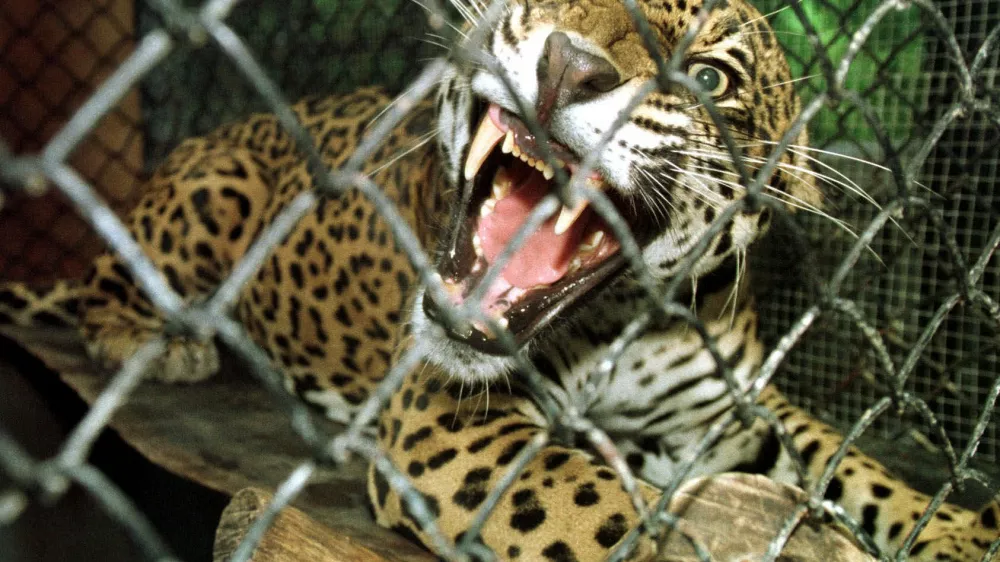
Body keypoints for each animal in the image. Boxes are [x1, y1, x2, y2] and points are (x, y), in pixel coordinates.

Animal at [1, 0, 997, 560]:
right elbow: (610, 516)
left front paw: (959, 531)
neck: (620, 330)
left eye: (712, 79)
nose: (569, 66)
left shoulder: (735, 402)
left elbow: (852, 459)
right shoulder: (443, 421)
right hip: (215, 187)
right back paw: (155, 339)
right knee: (105, 283)